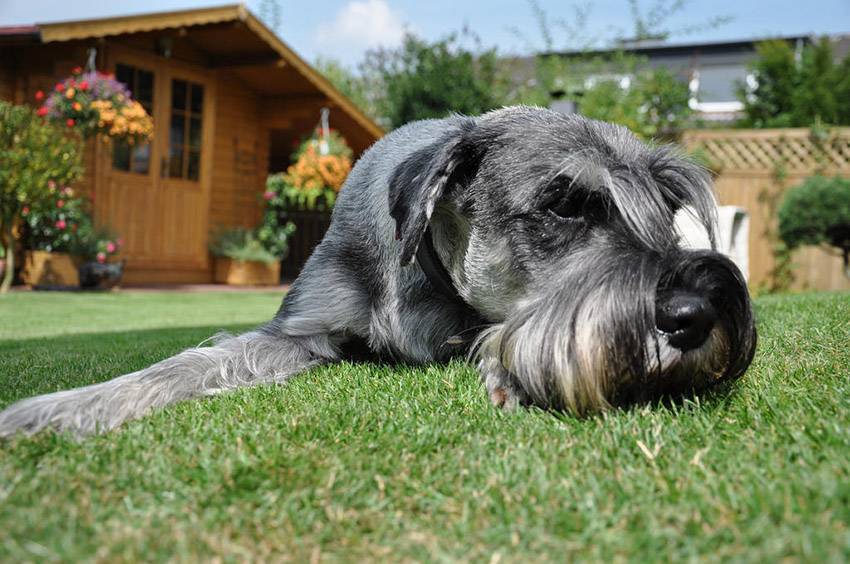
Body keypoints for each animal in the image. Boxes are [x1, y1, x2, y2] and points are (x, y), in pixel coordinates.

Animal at [0, 107, 756, 440]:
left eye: (666, 213)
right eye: (563, 203)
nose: (695, 314)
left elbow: (500, 336)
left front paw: (511, 371)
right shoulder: (297, 330)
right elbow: (186, 364)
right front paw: (59, 407)